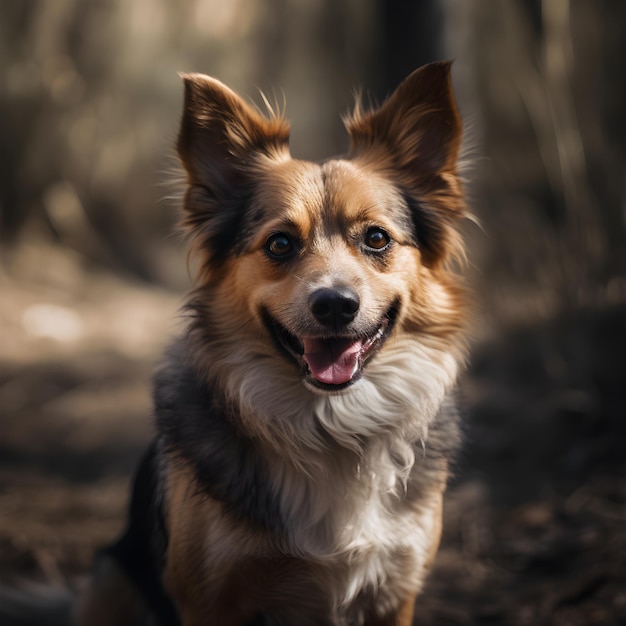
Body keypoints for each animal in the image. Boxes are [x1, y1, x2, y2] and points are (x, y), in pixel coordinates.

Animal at [3, 59, 468, 624]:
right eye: (280, 243)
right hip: (110, 580)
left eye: (376, 238)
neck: (329, 425)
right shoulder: (209, 599)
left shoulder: (395, 593)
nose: (335, 305)